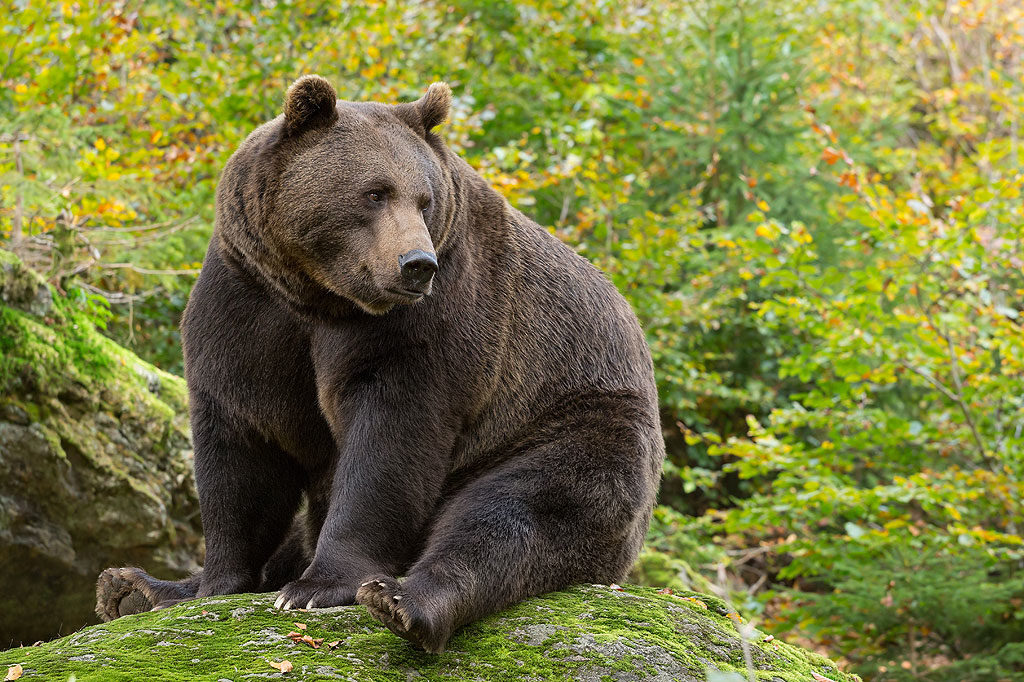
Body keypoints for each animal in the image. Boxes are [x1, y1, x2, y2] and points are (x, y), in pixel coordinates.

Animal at [97, 75, 663, 655]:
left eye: (424, 199)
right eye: (375, 192)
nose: (416, 264)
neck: (320, 295)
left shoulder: (432, 323)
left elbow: (389, 440)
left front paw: (317, 587)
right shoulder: (247, 305)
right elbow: (244, 445)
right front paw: (211, 583)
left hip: (572, 423)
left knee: (516, 512)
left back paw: (403, 600)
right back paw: (134, 586)